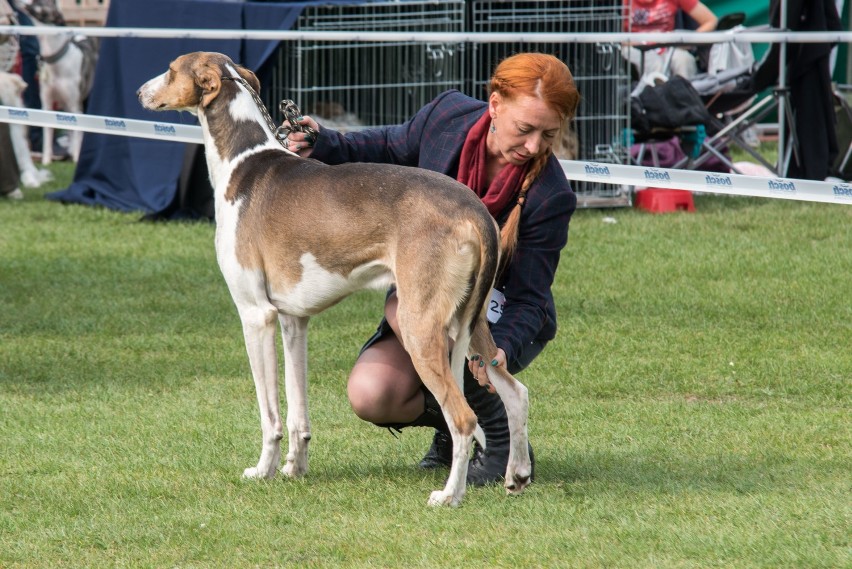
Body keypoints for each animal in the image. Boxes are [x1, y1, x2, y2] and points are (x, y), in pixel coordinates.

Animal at [136, 52, 528, 506]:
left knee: (464, 417)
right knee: (516, 392)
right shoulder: (293, 321)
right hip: (472, 323)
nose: (140, 92)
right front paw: (294, 469)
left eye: (170, 70)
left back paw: (449, 495)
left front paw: (263, 471)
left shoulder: (256, 316)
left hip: (421, 326)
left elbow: (270, 416)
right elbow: (297, 414)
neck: (242, 160)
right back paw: (517, 475)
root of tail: (474, 209)